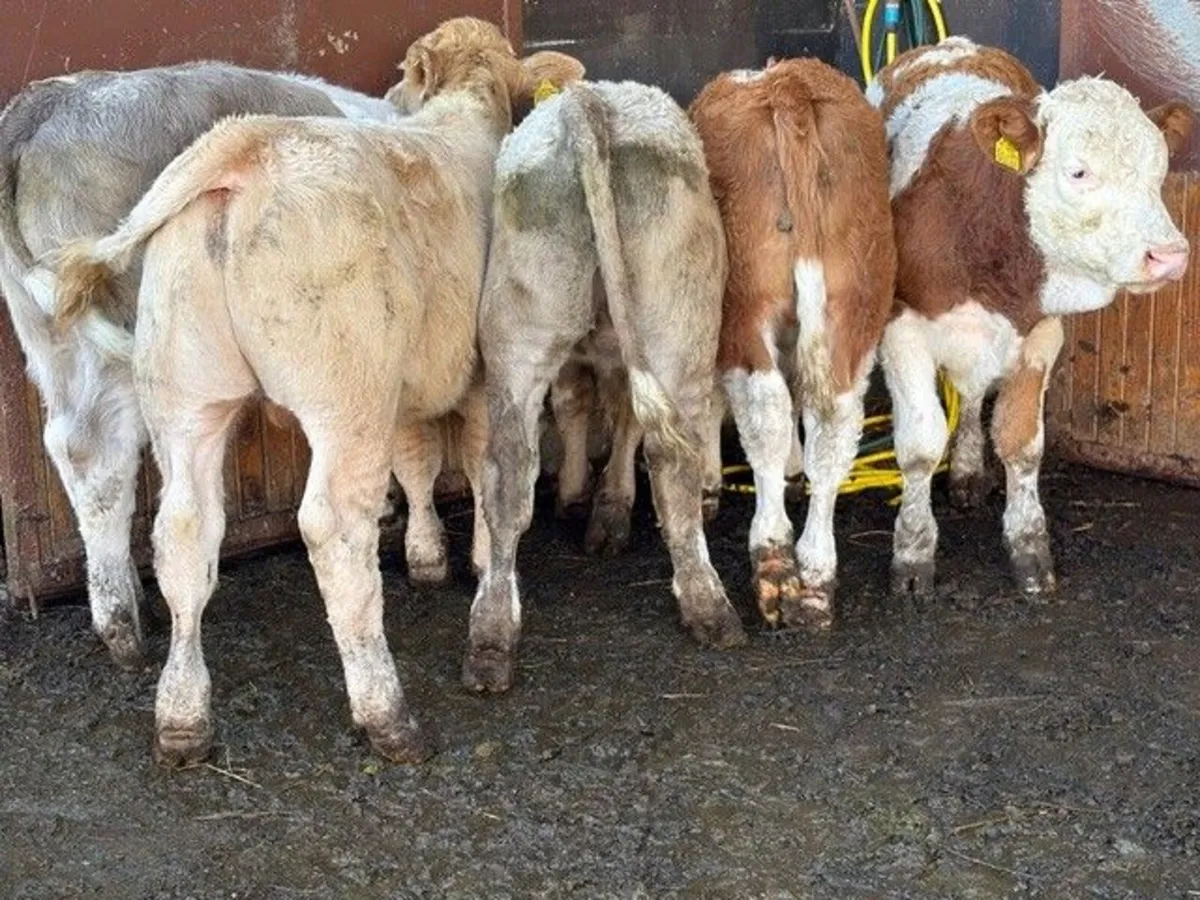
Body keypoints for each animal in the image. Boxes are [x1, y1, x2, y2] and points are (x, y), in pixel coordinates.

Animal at [0, 57, 411, 671]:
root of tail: (43, 103)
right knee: (99, 449)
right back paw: (123, 629)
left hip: (50, 332)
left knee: (69, 445)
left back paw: (124, 604)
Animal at [53, 17, 583, 765]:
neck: (463, 116)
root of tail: (246, 145)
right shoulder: (478, 373)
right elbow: (481, 471)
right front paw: (482, 562)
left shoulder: (403, 381)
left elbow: (416, 459)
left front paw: (427, 557)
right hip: (345, 398)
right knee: (333, 528)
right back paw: (387, 713)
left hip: (188, 390)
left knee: (183, 530)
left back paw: (182, 718)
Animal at [465, 79, 746, 694]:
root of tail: (588, 101)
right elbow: (624, 420)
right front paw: (606, 504)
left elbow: (590, 406)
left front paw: (585, 499)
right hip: (678, 330)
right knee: (673, 462)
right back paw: (707, 603)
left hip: (520, 330)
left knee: (507, 475)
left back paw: (492, 637)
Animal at [688, 59, 896, 629]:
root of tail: (788, 84)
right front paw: (794, 464)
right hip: (856, 304)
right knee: (834, 422)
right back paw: (817, 573)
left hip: (743, 305)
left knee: (765, 411)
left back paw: (774, 560)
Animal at [869, 36, 1194, 598]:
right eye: (1079, 172)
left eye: (1159, 173)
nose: (1170, 256)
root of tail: (952, 46)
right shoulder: (902, 329)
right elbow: (919, 446)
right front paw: (912, 552)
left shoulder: (1039, 333)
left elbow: (1021, 443)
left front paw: (1028, 547)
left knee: (973, 396)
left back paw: (968, 469)